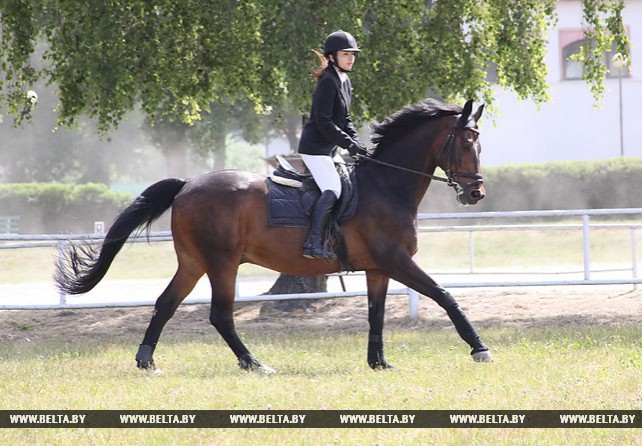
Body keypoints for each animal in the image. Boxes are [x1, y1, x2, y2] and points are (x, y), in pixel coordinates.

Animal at [57, 98, 492, 372]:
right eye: (466, 141)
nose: (475, 193)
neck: (387, 184)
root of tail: (188, 184)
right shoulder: (396, 261)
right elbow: (445, 296)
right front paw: (479, 348)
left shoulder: (378, 268)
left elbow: (376, 314)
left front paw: (378, 362)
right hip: (221, 263)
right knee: (220, 315)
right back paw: (254, 364)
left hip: (194, 262)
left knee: (165, 304)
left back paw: (147, 361)